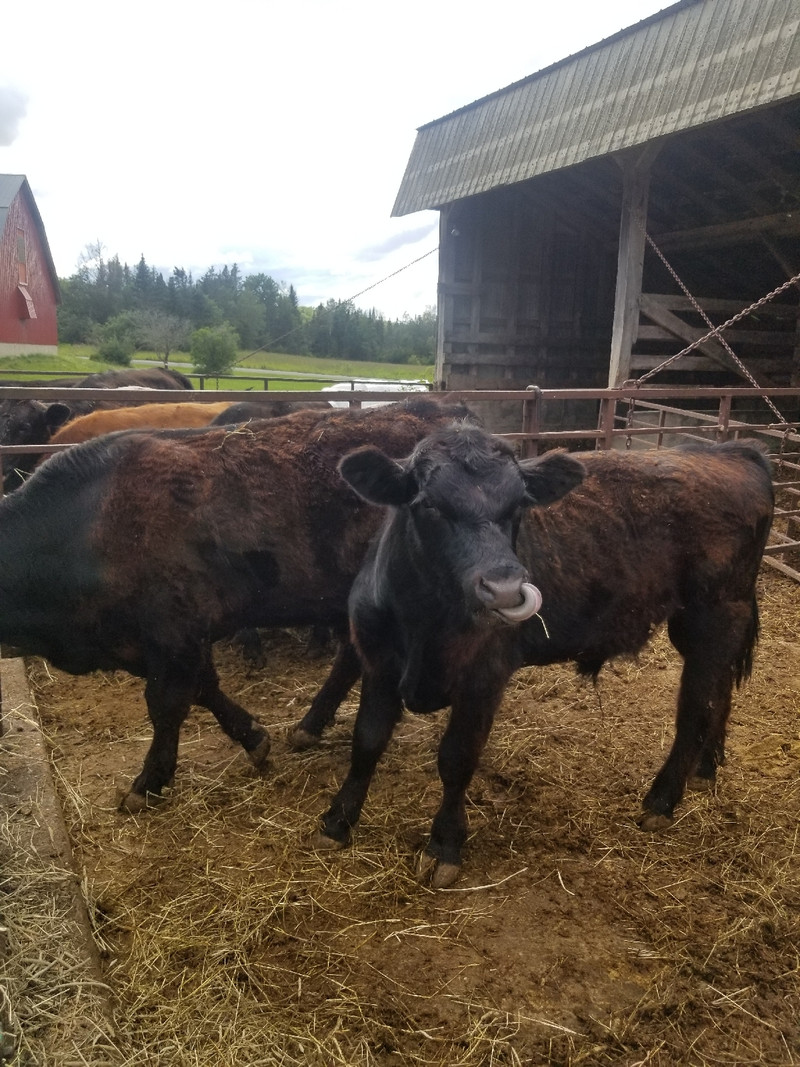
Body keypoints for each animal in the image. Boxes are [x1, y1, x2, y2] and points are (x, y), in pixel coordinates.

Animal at [0, 398, 473, 811]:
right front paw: (253, 737)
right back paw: (309, 726)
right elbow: (205, 690)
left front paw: (149, 781)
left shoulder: (174, 634)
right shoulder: (173, 639)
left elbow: (167, 705)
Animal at [313, 424, 775, 888]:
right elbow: (367, 740)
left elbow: (457, 759)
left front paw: (444, 844)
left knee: (697, 707)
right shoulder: (378, 663)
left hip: (714, 614)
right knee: (719, 692)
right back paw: (705, 769)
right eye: (428, 504)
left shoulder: (484, 678)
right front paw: (337, 820)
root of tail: (730, 450)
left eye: (519, 504)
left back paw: (661, 801)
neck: (424, 623)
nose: (503, 590)